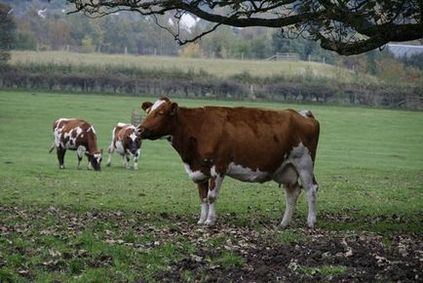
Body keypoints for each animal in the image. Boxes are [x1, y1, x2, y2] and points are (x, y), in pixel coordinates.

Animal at [139, 97, 322, 229]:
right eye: (148, 111)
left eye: (161, 112)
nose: (140, 129)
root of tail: (302, 113)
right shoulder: (200, 170)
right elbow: (203, 197)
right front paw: (201, 220)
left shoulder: (218, 166)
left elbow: (211, 196)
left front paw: (210, 221)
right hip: (286, 168)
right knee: (292, 192)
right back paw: (284, 223)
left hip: (304, 163)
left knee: (311, 190)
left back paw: (311, 221)